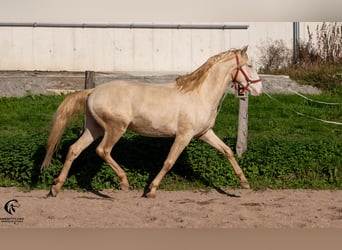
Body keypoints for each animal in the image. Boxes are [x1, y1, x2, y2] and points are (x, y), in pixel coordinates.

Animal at [42, 45, 262, 197]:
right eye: (250, 65)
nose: (259, 89)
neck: (199, 95)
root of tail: (92, 91)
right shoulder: (184, 136)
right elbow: (169, 161)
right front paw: (151, 190)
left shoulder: (204, 133)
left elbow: (227, 151)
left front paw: (244, 183)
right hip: (115, 128)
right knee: (103, 150)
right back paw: (124, 182)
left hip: (94, 128)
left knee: (74, 150)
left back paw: (56, 187)